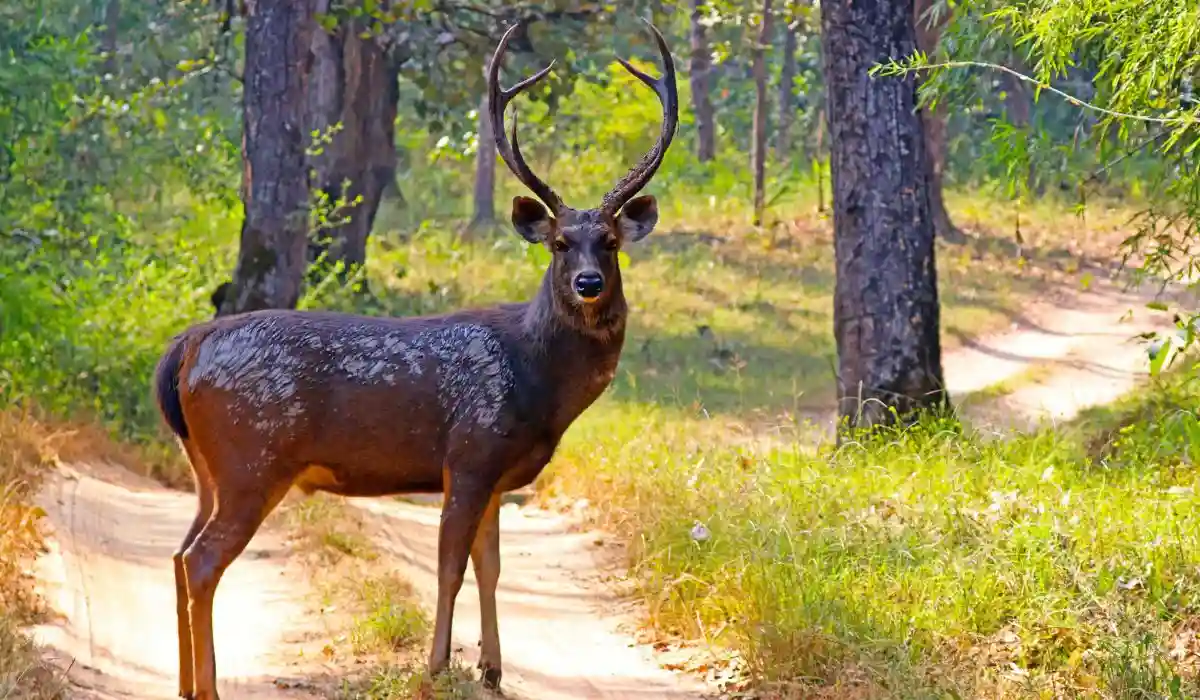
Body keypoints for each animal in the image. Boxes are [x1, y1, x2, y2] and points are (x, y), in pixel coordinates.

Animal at [152, 19, 678, 700]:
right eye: (561, 243)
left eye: (610, 242)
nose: (589, 283)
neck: (536, 382)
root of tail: (185, 350)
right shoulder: (471, 452)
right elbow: (450, 565)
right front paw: (437, 666)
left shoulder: (496, 475)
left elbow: (490, 566)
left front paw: (491, 669)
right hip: (253, 458)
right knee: (201, 561)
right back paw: (208, 686)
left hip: (206, 467)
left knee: (177, 552)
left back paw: (185, 684)